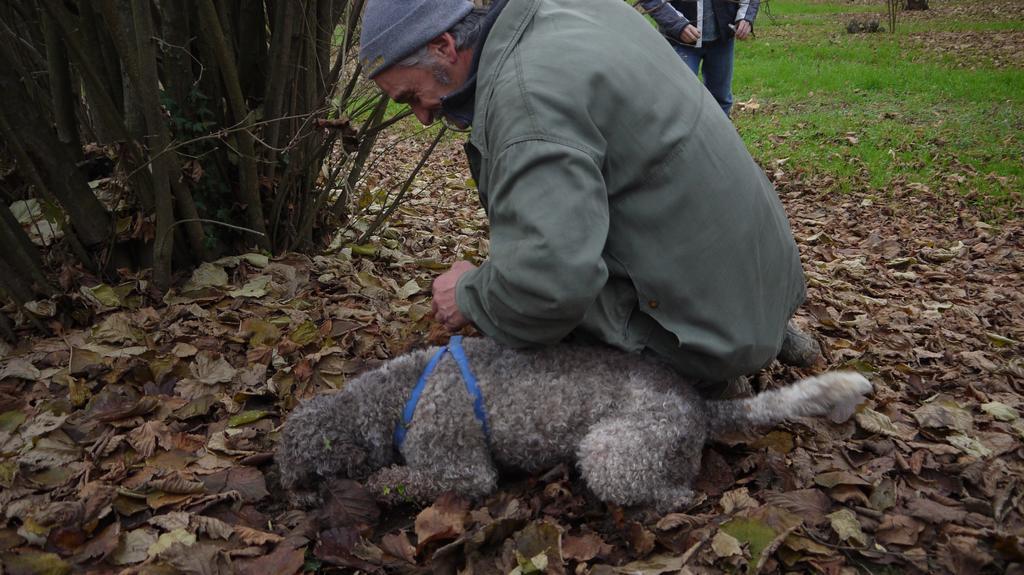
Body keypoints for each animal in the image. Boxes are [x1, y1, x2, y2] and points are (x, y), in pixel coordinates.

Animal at [278, 335, 872, 509]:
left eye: (305, 475)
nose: (290, 499)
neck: (396, 395)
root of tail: (696, 405)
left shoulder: (462, 468)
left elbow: (419, 479)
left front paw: (384, 483)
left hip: (612, 451)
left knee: (669, 491)